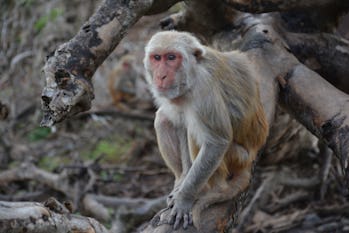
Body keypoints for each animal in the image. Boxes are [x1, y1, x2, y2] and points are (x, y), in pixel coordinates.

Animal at [143, 30, 268, 229]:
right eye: (157, 58)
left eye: (171, 57)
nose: (161, 76)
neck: (192, 74)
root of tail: (250, 159)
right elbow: (181, 125)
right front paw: (184, 182)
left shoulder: (204, 90)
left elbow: (216, 142)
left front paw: (184, 199)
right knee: (164, 118)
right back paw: (181, 179)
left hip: (236, 156)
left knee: (200, 135)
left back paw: (213, 190)